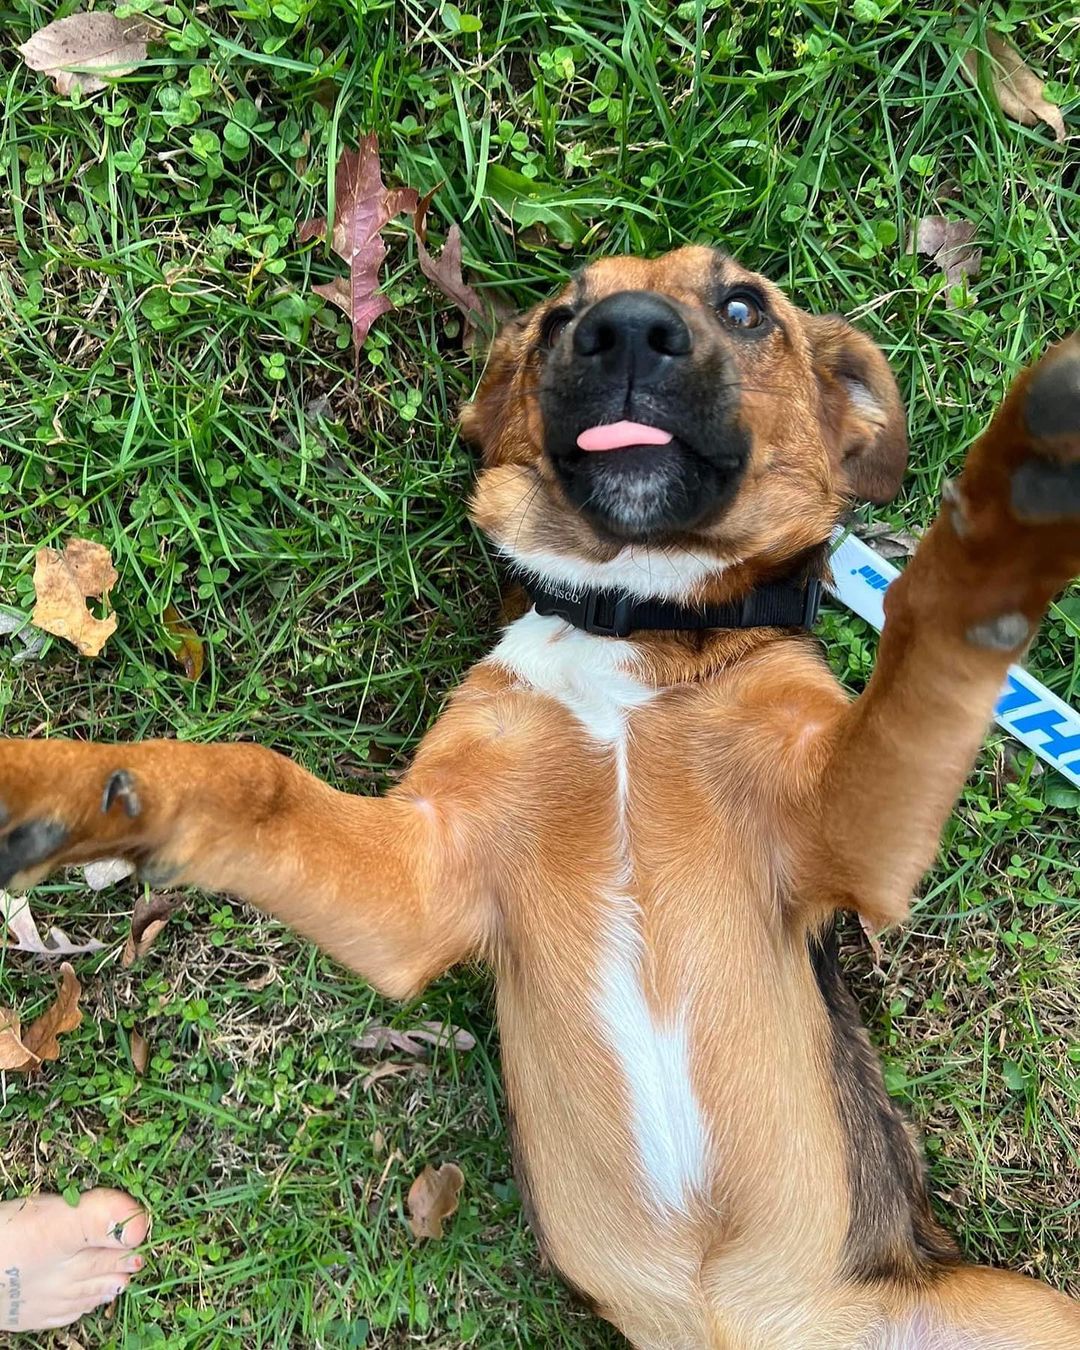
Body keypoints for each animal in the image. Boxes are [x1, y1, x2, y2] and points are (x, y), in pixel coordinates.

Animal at [2, 245, 1080, 1350]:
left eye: (744, 307)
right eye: (563, 314)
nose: (628, 332)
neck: (633, 621)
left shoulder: (847, 832)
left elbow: (924, 643)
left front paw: (1010, 518)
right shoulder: (423, 883)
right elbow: (257, 776)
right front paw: (66, 788)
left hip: (1027, 1307)